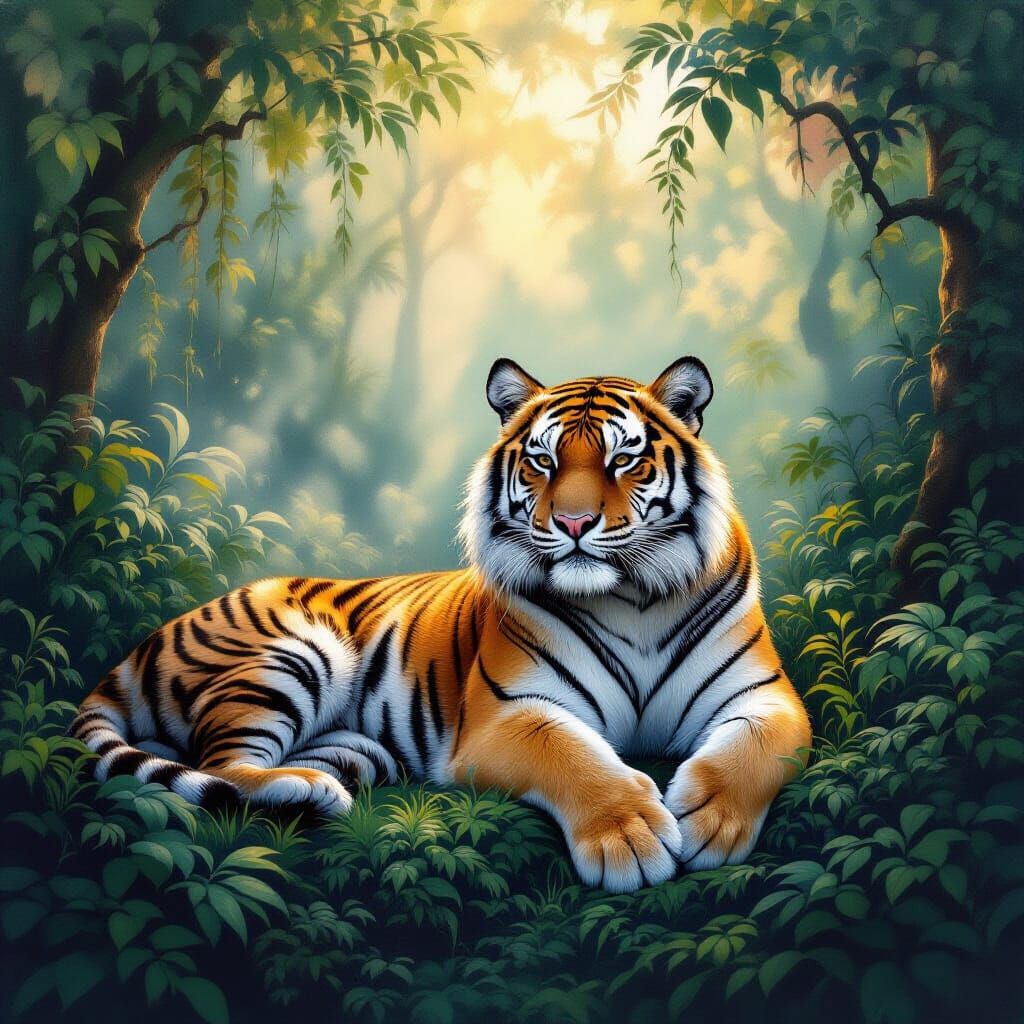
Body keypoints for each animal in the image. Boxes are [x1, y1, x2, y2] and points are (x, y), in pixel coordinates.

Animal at [71, 357, 811, 892]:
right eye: (542, 460)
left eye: (622, 459)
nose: (573, 523)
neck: (629, 598)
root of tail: (145, 641)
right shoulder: (505, 716)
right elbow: (574, 755)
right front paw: (626, 835)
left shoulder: (765, 696)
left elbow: (757, 750)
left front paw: (712, 822)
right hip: (292, 654)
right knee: (219, 764)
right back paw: (303, 788)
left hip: (355, 739)